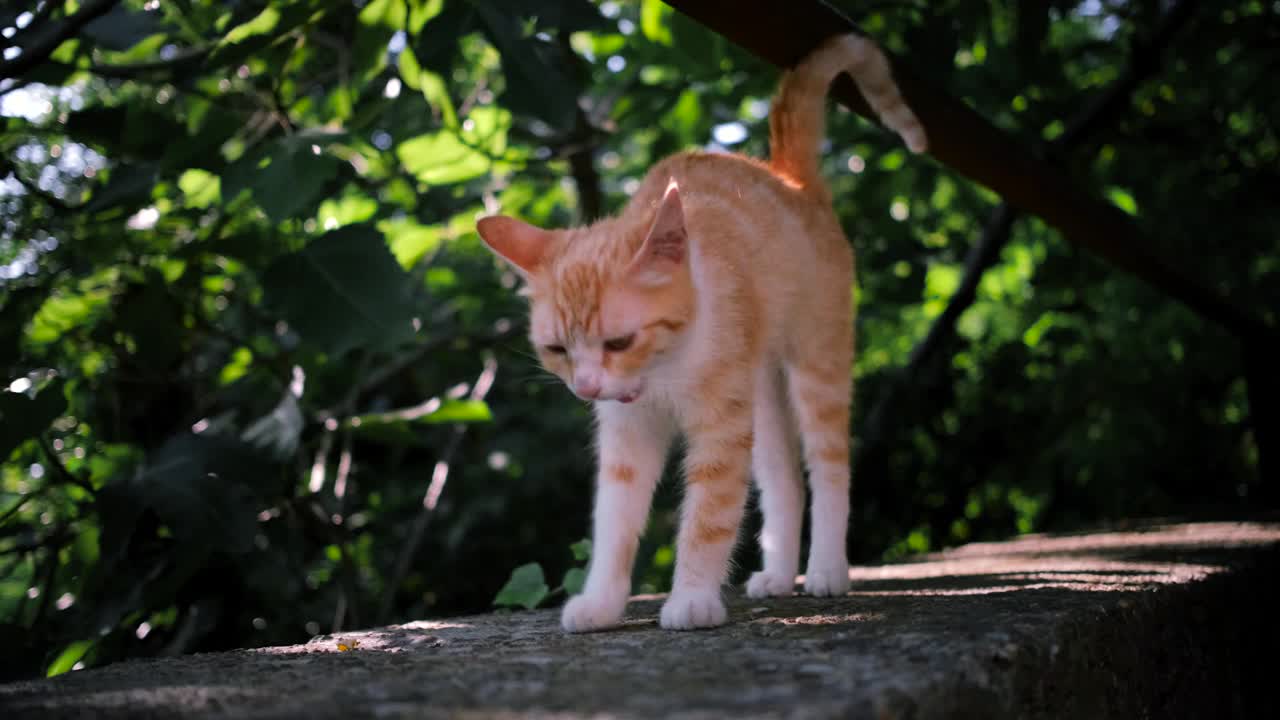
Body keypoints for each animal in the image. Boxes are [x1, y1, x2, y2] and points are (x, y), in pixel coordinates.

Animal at [476, 33, 926, 627]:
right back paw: (780, 574)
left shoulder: (720, 430)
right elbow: (613, 525)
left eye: (618, 342)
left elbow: (709, 517)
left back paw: (827, 569)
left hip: (816, 367)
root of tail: (789, 178)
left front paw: (690, 598)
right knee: (784, 480)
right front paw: (600, 604)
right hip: (762, 395)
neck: (663, 370)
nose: (587, 388)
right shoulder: (627, 437)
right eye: (557, 349)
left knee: (829, 468)